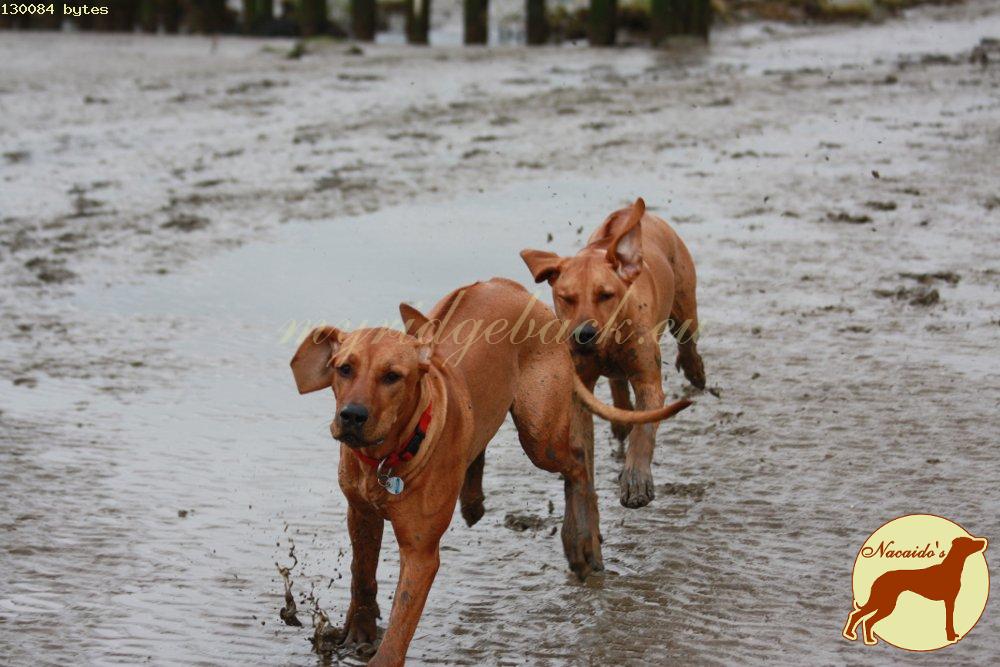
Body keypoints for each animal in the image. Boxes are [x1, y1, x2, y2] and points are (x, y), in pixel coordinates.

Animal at [290, 278, 691, 666]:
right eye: (344, 368)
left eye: (392, 376)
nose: (352, 415)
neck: (387, 458)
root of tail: (511, 285)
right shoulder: (360, 513)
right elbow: (362, 574)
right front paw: (359, 630)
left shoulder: (420, 552)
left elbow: (400, 626)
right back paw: (473, 499)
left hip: (539, 433)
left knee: (577, 463)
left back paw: (582, 542)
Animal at [520, 197, 705, 508]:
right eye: (566, 298)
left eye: (605, 295)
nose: (583, 335)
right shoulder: (580, 388)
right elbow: (582, 439)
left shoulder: (648, 381)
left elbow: (644, 431)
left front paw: (636, 481)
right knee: (617, 383)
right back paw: (620, 417)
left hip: (683, 305)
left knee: (687, 341)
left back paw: (695, 370)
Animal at [843, 535, 988, 645]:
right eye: (970, 541)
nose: (984, 542)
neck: (951, 568)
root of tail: (879, 578)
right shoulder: (949, 600)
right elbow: (949, 621)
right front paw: (951, 637)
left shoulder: (949, 601)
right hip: (885, 603)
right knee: (862, 618)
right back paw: (859, 637)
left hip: (883, 602)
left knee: (862, 618)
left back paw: (859, 637)